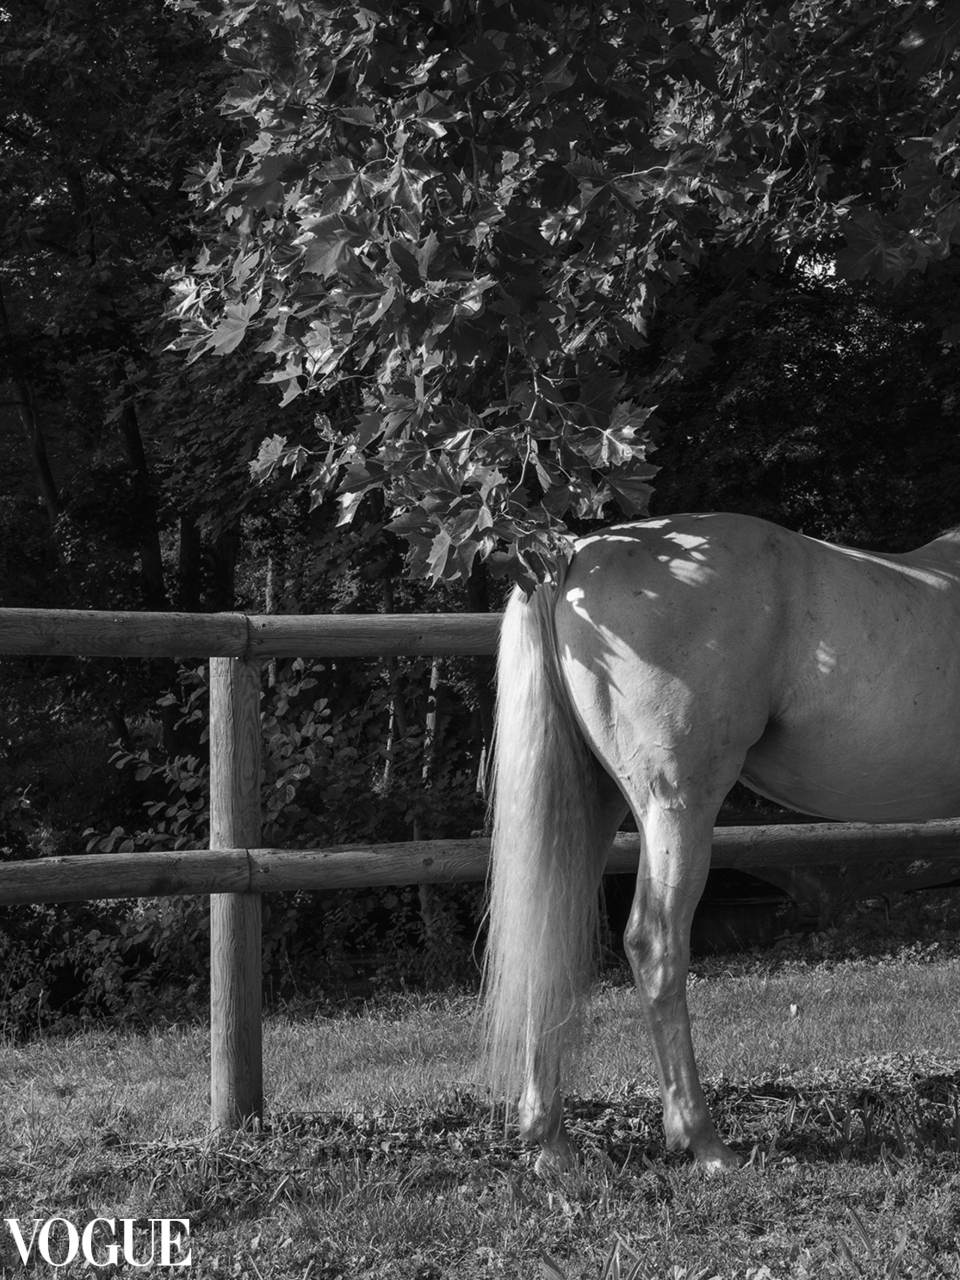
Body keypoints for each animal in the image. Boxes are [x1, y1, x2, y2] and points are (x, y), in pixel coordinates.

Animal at [483, 511, 960, 1174]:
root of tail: (573, 554)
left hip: (594, 802)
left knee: (550, 928)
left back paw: (550, 1139)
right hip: (678, 806)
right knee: (655, 943)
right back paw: (703, 1141)